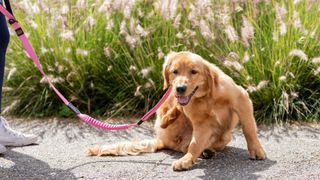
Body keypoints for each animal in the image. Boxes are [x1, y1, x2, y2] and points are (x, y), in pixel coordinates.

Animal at [86, 51, 266, 171]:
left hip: (225, 135)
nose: (179, 88)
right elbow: (194, 145)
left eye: (194, 71)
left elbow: (249, 129)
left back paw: (207, 150)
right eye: (175, 72)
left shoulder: (242, 99)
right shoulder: (201, 123)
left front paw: (256, 150)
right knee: (172, 127)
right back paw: (173, 117)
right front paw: (187, 161)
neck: (206, 96)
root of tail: (162, 140)